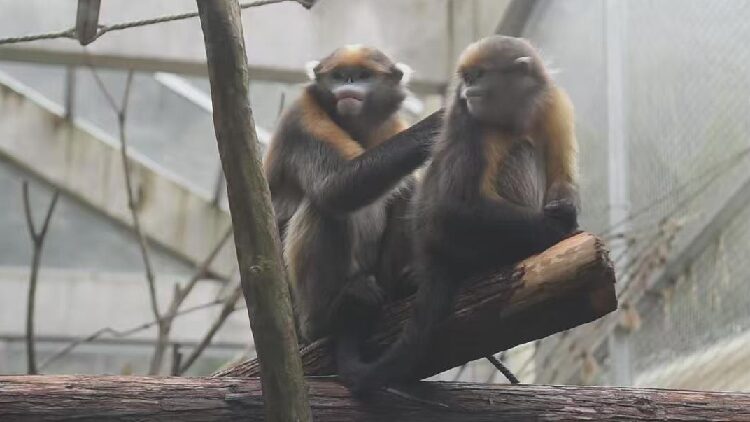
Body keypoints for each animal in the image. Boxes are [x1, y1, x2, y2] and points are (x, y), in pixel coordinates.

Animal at [263, 45, 442, 361]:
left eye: (363, 75)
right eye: (338, 76)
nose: (348, 83)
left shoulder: (392, 124)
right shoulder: (303, 117)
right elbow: (335, 188)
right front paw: (436, 124)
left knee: (407, 187)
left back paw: (402, 287)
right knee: (324, 206)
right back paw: (327, 317)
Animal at [339, 35, 580, 394]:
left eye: (478, 76)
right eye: (466, 79)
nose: (468, 90)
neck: (514, 117)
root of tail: (432, 253)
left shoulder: (553, 105)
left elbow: (563, 177)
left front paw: (566, 212)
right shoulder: (468, 119)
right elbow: (452, 209)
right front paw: (556, 227)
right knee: (520, 151)